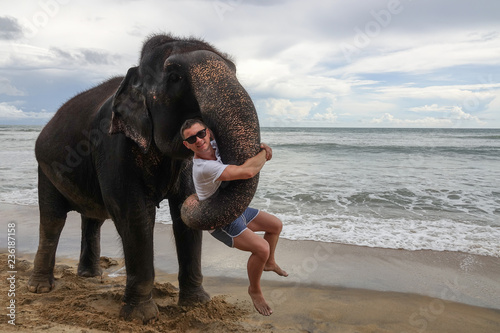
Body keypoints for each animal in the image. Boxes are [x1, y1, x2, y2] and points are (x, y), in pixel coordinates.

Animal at [27, 33, 262, 322]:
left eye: (235, 71)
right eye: (175, 77)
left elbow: (181, 214)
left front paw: (197, 304)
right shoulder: (113, 145)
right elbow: (134, 213)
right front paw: (142, 316)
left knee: (92, 219)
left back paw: (91, 277)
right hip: (45, 167)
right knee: (52, 219)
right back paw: (40, 288)